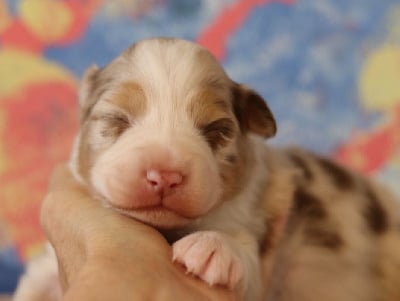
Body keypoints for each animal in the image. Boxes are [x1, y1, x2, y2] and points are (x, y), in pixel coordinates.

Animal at [14, 38, 400, 300]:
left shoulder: (260, 253)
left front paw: (213, 247)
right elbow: (38, 280)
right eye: (116, 119)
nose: (165, 176)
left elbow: (242, 257)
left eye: (217, 130)